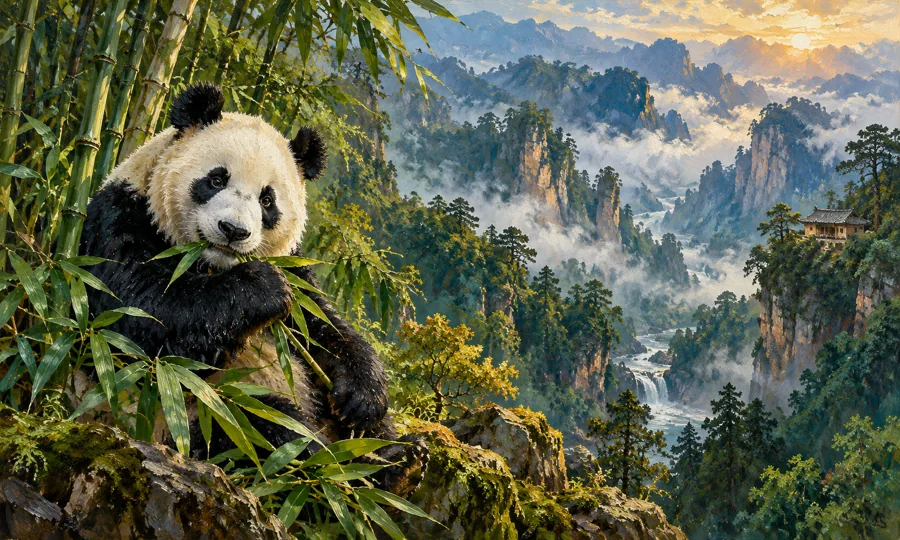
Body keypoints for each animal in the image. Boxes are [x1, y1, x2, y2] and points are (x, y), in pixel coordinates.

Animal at [79, 82, 422, 489]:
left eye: (267, 199)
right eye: (216, 180)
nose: (234, 230)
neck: (211, 263)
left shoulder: (297, 269)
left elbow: (323, 328)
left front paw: (361, 396)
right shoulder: (121, 217)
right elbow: (141, 316)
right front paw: (263, 288)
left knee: (361, 431)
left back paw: (396, 460)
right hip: (191, 412)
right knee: (263, 430)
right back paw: (339, 467)